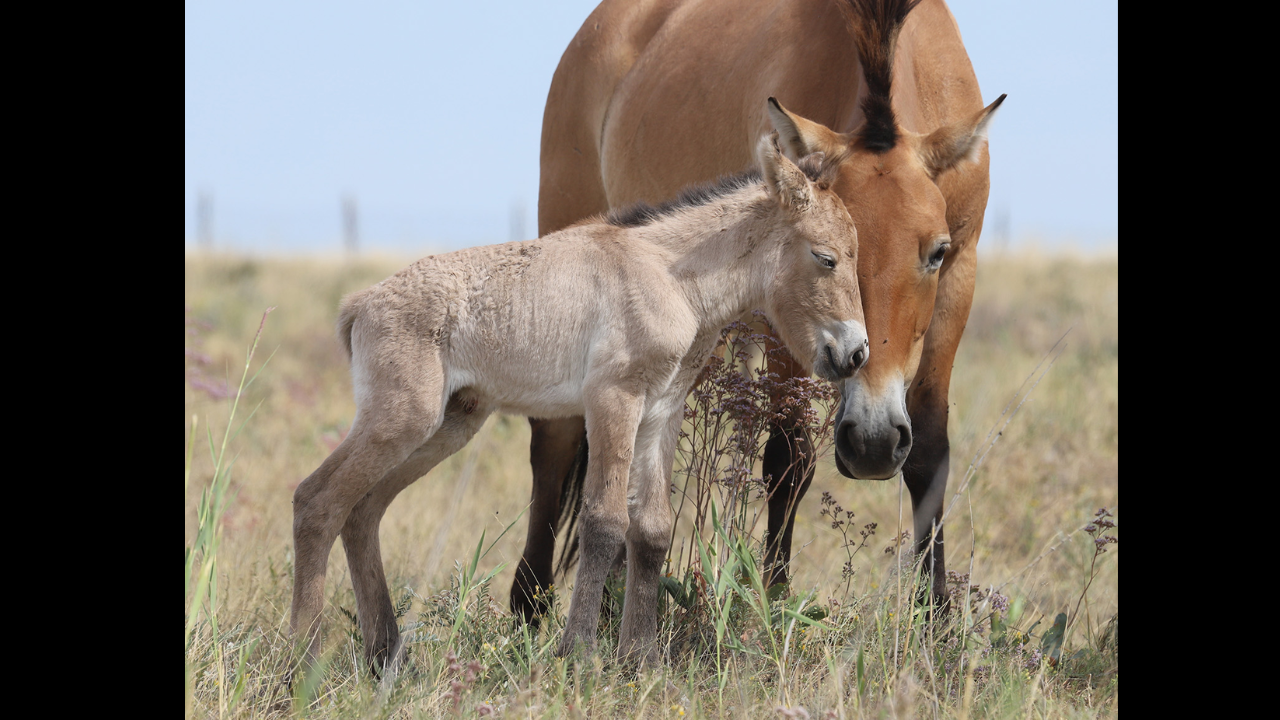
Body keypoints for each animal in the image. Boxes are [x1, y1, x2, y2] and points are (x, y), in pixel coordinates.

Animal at [289, 133, 868, 671]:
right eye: (825, 258)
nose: (856, 353)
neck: (670, 277)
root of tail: (360, 304)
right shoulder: (613, 398)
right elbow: (605, 521)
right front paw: (581, 657)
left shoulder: (661, 411)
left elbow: (652, 529)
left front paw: (642, 661)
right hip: (403, 419)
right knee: (317, 501)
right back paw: (302, 662)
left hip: (448, 425)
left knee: (362, 511)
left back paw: (384, 656)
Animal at [511, 0, 1003, 621]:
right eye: (819, 255)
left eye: (935, 252)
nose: (871, 444)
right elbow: (788, 458)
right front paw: (772, 602)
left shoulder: (961, 277)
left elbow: (930, 452)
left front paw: (935, 617)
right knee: (553, 442)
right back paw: (531, 602)